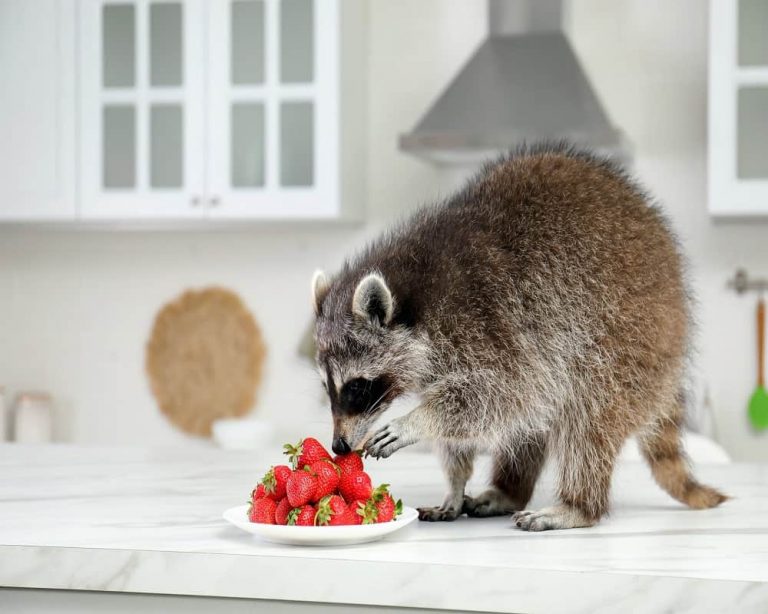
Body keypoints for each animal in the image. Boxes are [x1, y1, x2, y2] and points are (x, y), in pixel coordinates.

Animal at [311, 142, 726, 531]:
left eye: (357, 387)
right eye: (328, 388)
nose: (339, 446)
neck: (418, 292)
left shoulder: (489, 321)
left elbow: (501, 394)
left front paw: (416, 421)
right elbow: (476, 423)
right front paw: (454, 485)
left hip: (628, 337)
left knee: (587, 418)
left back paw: (578, 504)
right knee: (536, 421)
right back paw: (510, 490)